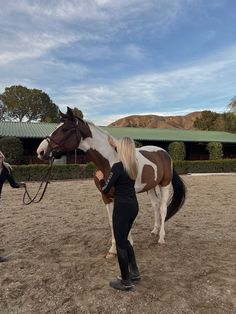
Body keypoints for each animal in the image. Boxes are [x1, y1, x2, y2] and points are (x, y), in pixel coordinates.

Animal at [36, 108, 186, 258]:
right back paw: (155, 230)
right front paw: (114, 248)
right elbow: (112, 221)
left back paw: (161, 237)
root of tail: (164, 153)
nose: (40, 151)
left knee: (163, 208)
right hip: (150, 186)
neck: (109, 161)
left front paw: (126, 243)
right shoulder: (106, 196)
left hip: (164, 184)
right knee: (155, 205)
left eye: (65, 129)